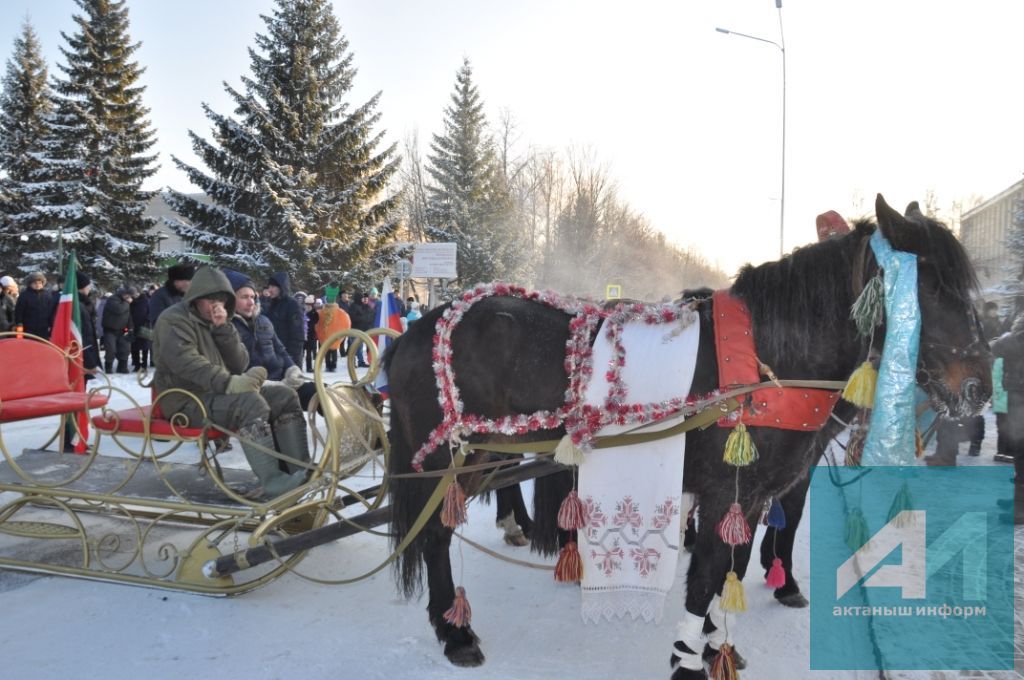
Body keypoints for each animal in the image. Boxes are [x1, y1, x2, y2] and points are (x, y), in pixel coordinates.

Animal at [385, 193, 991, 675]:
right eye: (931, 287)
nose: (980, 388)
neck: (765, 360)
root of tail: (420, 328)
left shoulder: (753, 494)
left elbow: (733, 570)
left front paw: (718, 644)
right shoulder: (727, 490)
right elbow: (705, 579)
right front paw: (688, 660)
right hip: (450, 459)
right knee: (435, 537)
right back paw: (455, 631)